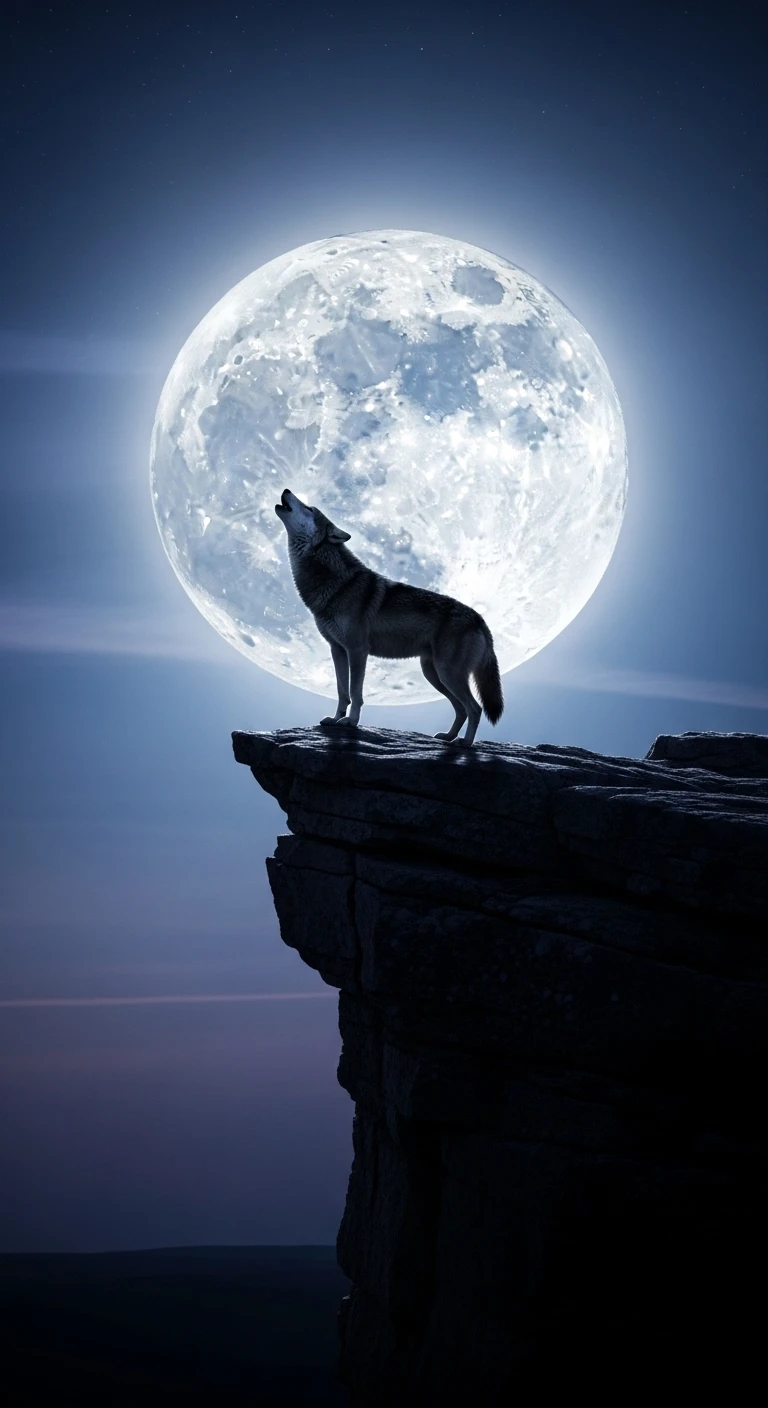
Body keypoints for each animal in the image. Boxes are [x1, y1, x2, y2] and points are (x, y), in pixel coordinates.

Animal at [275, 489, 504, 747]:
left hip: (447, 674)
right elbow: (342, 692)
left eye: (310, 508)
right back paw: (448, 737)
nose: (286, 490)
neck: (338, 583)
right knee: (462, 709)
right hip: (435, 675)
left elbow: (355, 692)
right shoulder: (337, 650)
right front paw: (335, 719)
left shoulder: (358, 650)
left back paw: (464, 743)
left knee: (475, 708)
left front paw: (350, 722)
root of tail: (480, 620)